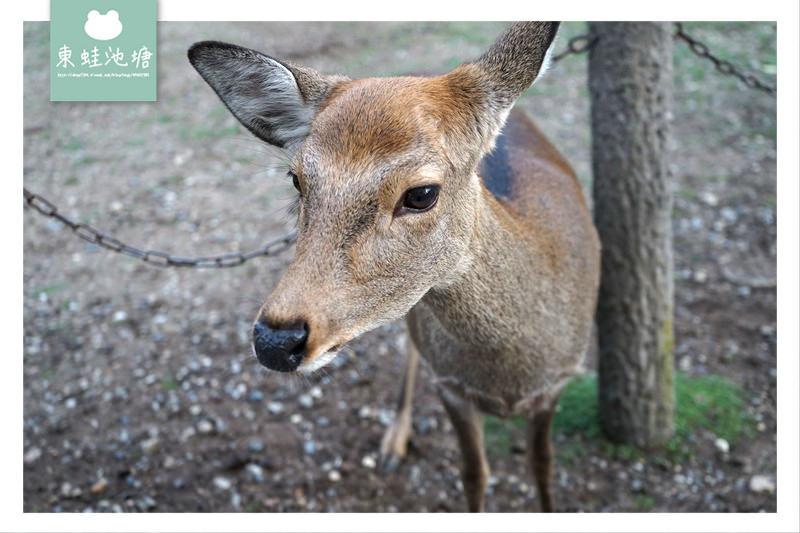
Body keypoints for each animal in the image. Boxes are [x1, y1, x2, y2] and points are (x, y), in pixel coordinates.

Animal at [189, 21, 600, 512]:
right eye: (297, 180)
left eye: (421, 193)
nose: (275, 340)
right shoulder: (450, 385)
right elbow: (474, 474)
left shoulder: (558, 384)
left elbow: (542, 466)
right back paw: (393, 443)